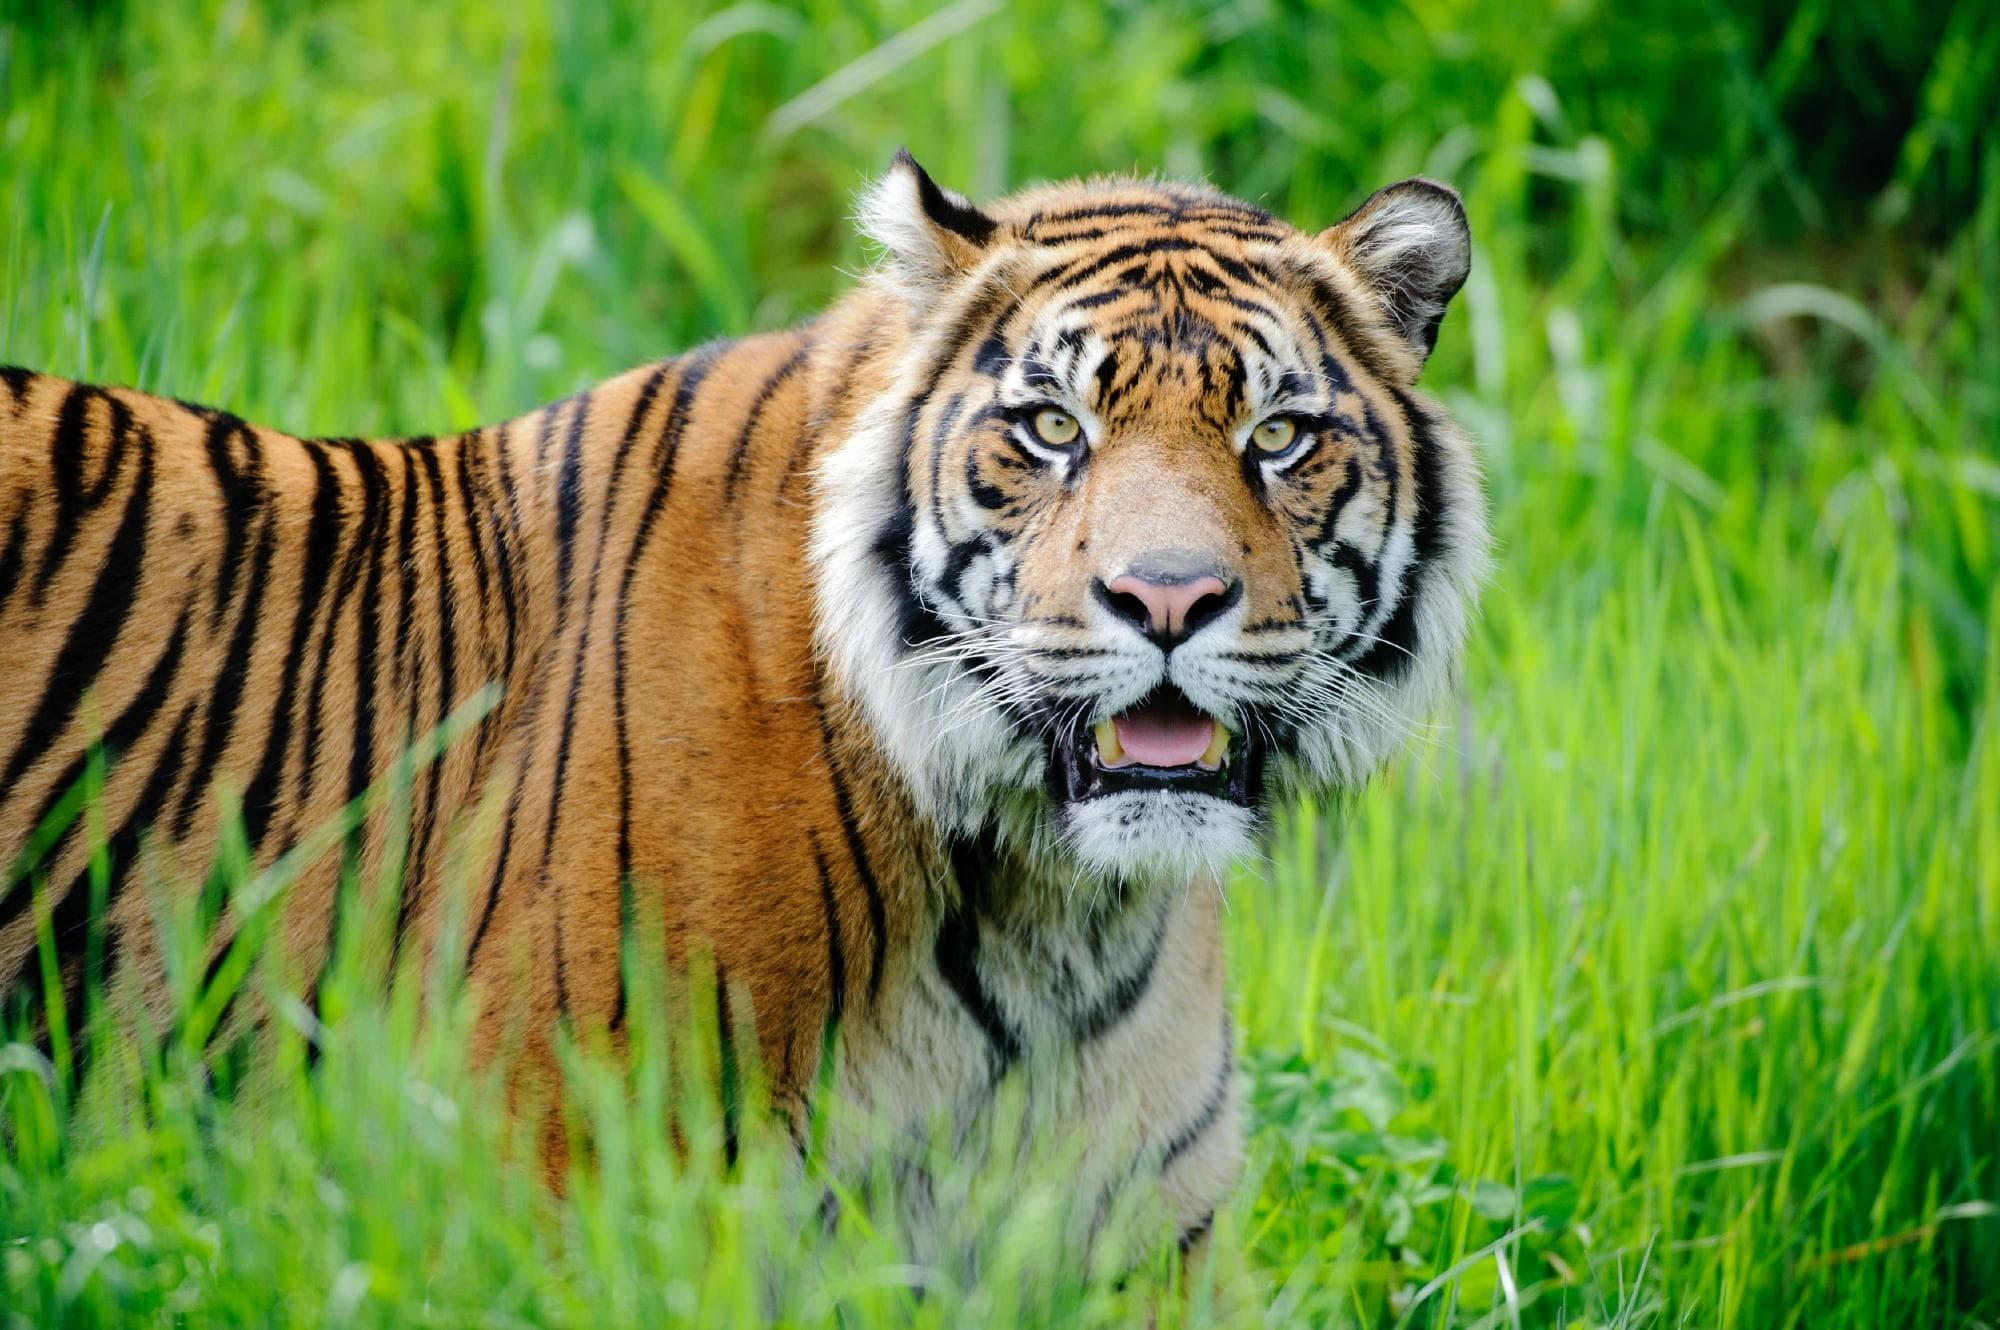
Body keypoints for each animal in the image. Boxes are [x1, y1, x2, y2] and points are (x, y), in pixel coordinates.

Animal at [0, 151, 1488, 1258]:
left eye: (1277, 436)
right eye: (1053, 428)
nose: (1167, 599)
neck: (1053, 908)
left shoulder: (1144, 1236)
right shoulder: (547, 1175)